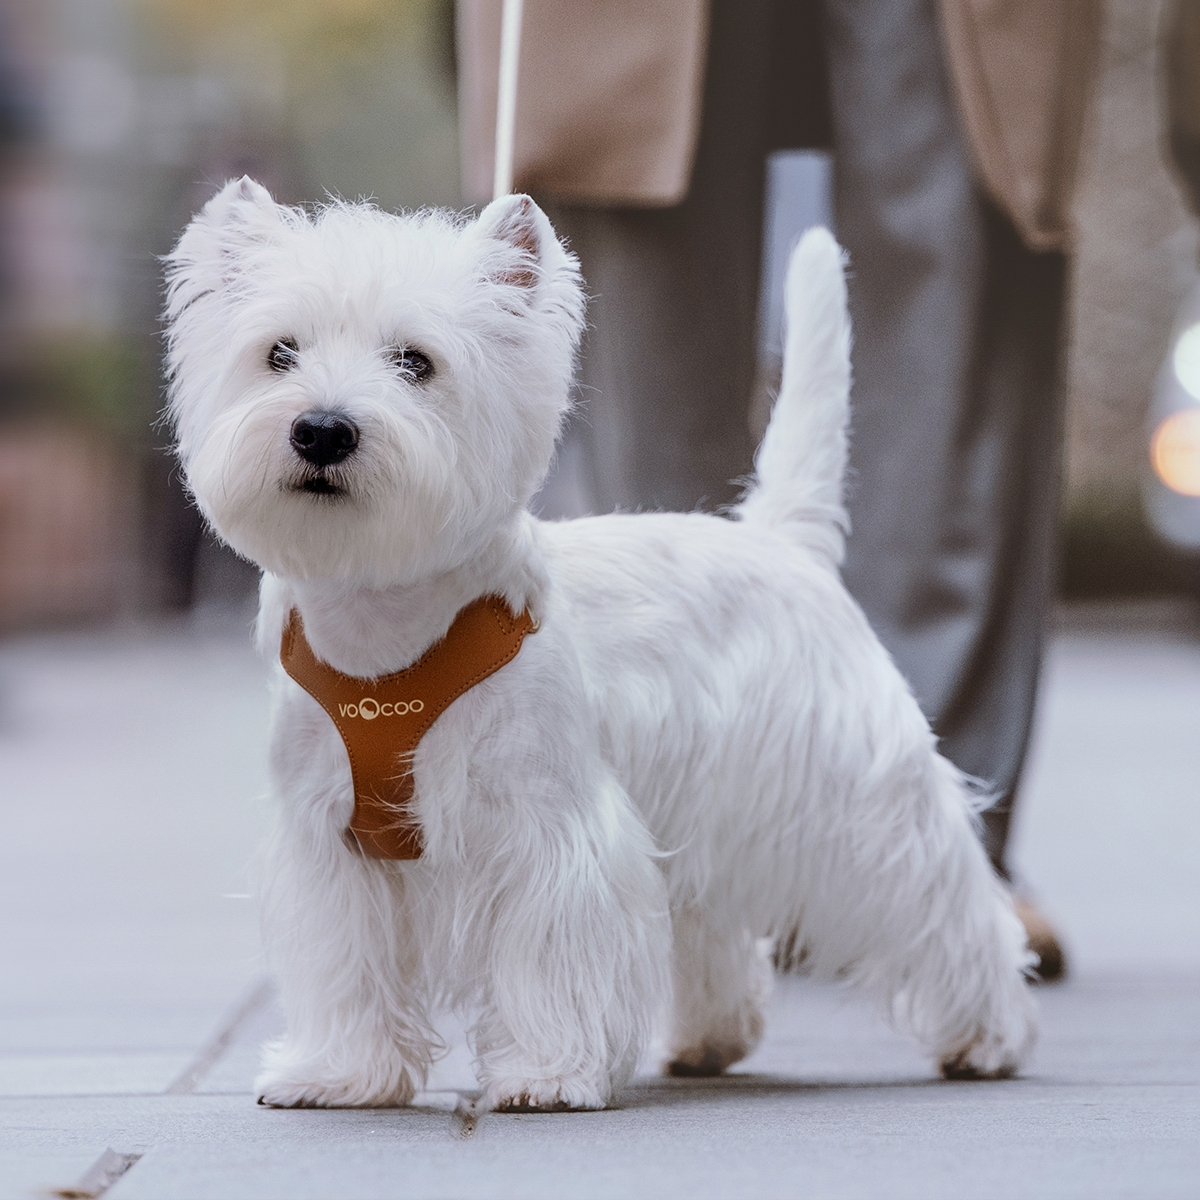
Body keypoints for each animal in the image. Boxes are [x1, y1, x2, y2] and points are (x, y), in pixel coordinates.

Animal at [164, 180, 1036, 1113]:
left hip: (859, 800)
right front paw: (340, 1073)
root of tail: (784, 541)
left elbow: (549, 953)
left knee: (941, 900)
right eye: (279, 352)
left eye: (415, 362)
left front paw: (544, 1075)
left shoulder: (547, 825)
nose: (322, 430)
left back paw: (988, 1037)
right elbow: (347, 964)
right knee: (712, 923)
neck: (384, 633)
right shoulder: (334, 844)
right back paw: (711, 1038)